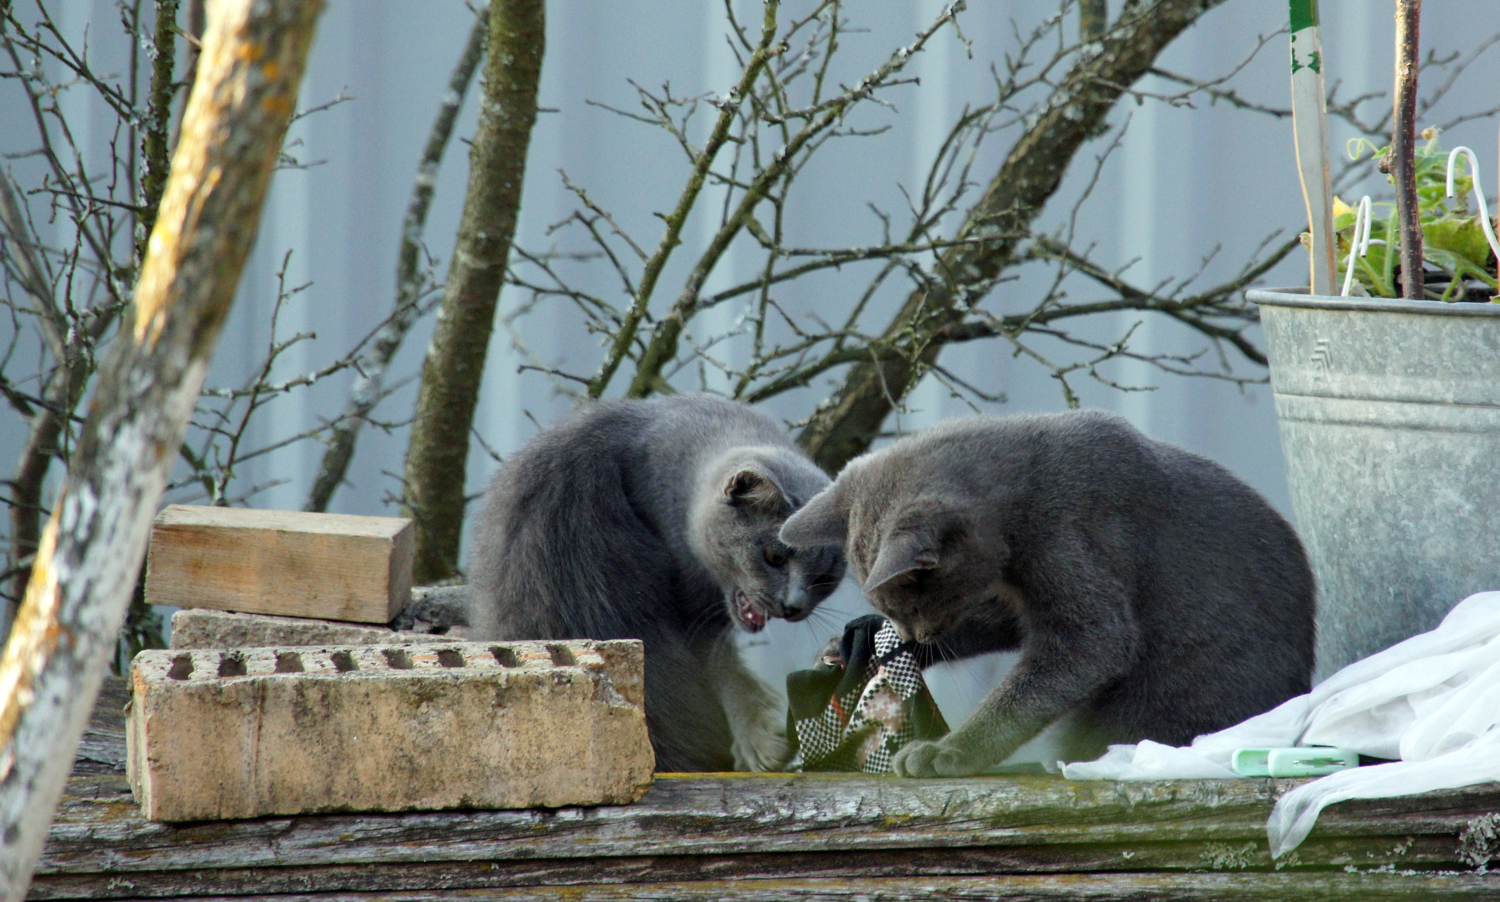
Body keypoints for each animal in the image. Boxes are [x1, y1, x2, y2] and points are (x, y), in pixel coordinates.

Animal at [468, 390, 846, 768]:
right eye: (774, 557)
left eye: (824, 578)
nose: (793, 605)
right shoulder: (696, 614)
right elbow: (725, 669)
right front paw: (763, 740)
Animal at [780, 411, 1320, 774]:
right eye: (889, 608)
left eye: (905, 602)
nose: (912, 635)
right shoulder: (1015, 601)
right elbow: (994, 624)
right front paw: (854, 644)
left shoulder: (1072, 549)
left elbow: (1065, 664)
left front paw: (950, 751)